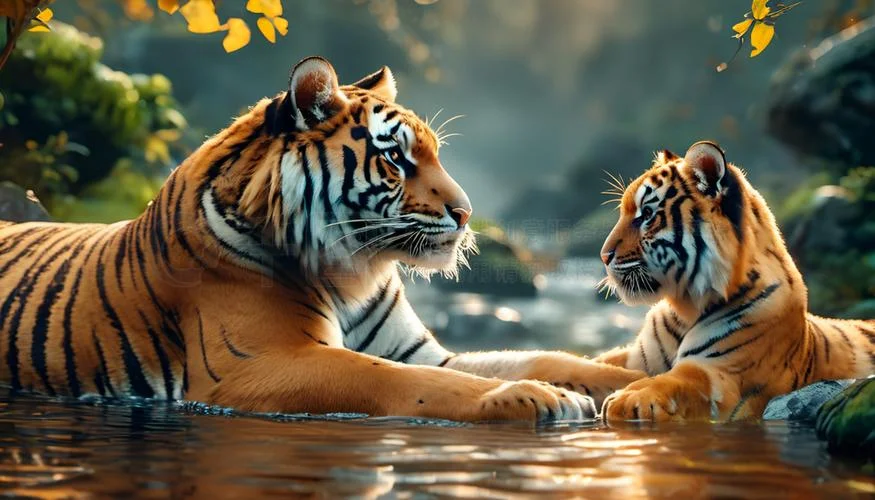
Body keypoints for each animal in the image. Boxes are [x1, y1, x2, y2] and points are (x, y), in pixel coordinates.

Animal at [0, 56, 645, 422]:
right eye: (396, 159)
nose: (466, 214)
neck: (351, 270)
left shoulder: (419, 347)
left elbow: (545, 355)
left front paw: (635, 382)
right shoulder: (260, 366)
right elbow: (405, 382)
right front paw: (540, 399)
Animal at [593, 140, 875, 422]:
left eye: (648, 214)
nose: (604, 256)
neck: (685, 308)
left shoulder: (722, 372)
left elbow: (678, 380)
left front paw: (627, 397)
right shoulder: (636, 359)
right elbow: (599, 365)